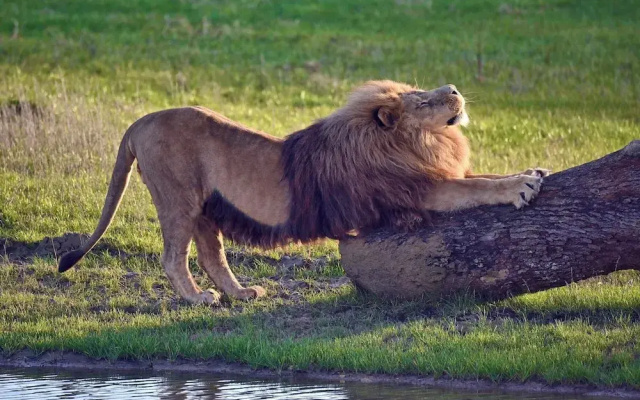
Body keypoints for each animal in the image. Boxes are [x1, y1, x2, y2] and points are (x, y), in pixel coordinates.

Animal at [58, 80, 547, 305]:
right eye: (423, 100)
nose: (454, 89)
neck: (415, 142)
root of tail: (140, 121)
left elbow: (482, 174)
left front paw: (531, 168)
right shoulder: (415, 191)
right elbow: (476, 186)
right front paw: (521, 186)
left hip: (206, 207)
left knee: (212, 256)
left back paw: (241, 293)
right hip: (177, 197)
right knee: (173, 257)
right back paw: (199, 299)